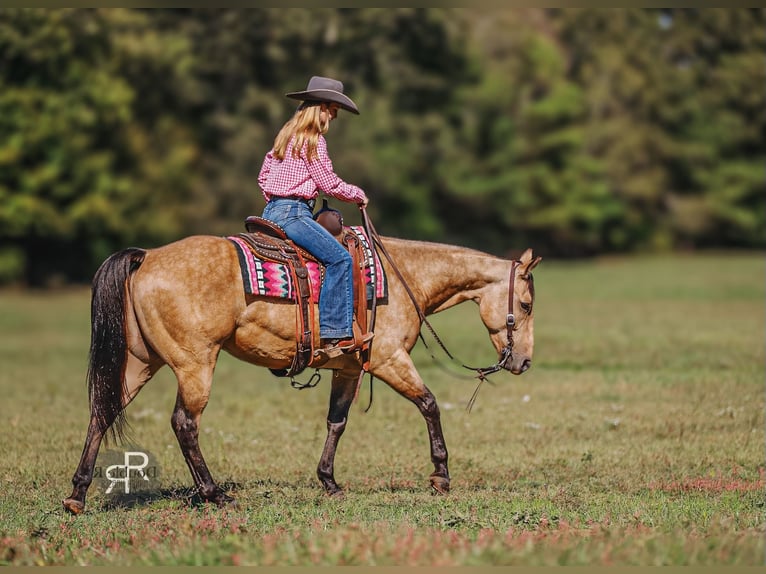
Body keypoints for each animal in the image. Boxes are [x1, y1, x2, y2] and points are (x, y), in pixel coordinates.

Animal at [62, 229, 541, 514]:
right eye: (525, 305)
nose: (524, 362)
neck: (404, 276)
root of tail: (146, 257)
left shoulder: (349, 368)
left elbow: (337, 422)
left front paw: (329, 481)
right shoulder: (389, 360)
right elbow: (429, 404)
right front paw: (440, 475)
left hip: (141, 361)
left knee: (102, 412)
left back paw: (77, 495)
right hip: (194, 364)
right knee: (184, 424)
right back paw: (214, 494)